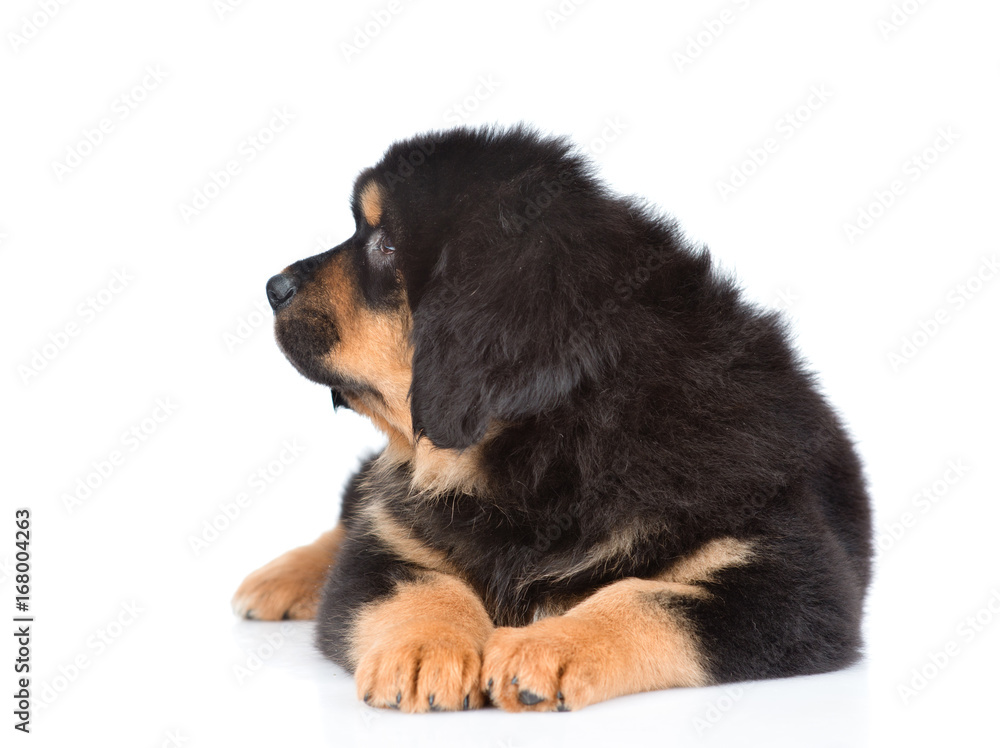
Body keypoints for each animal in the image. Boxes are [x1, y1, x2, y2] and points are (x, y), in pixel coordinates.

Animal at [230, 124, 872, 712]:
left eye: (385, 245)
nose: (272, 287)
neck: (548, 450)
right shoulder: (387, 542)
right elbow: (414, 584)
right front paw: (425, 650)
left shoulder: (793, 581)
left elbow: (645, 598)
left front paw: (544, 647)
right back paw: (280, 579)